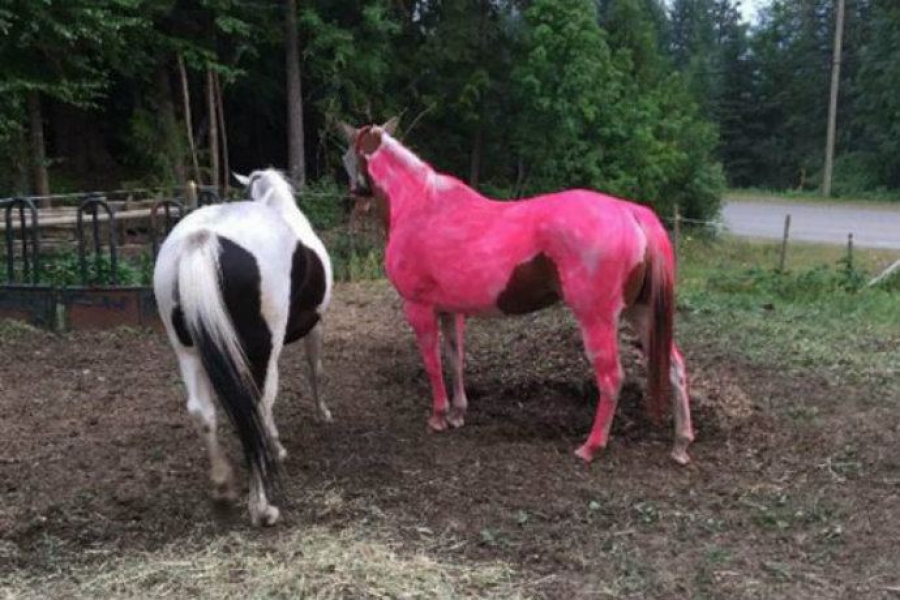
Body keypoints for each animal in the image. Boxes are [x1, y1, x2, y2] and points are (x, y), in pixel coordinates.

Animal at [153, 169, 333, 526]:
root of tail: (204, 238)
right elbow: (315, 370)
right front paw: (320, 415)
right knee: (257, 405)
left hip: (188, 352)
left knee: (202, 411)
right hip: (262, 351)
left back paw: (223, 486)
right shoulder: (315, 326)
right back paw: (262, 508)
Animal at [339, 120, 693, 465]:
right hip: (641, 312)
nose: (355, 201)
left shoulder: (419, 307)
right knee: (675, 367)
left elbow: (432, 360)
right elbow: (454, 357)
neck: (421, 205)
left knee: (611, 378)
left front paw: (439, 416)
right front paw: (457, 413)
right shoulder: (451, 310)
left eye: (346, 155)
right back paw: (681, 444)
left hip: (598, 319)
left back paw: (591, 447)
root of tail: (632, 212)